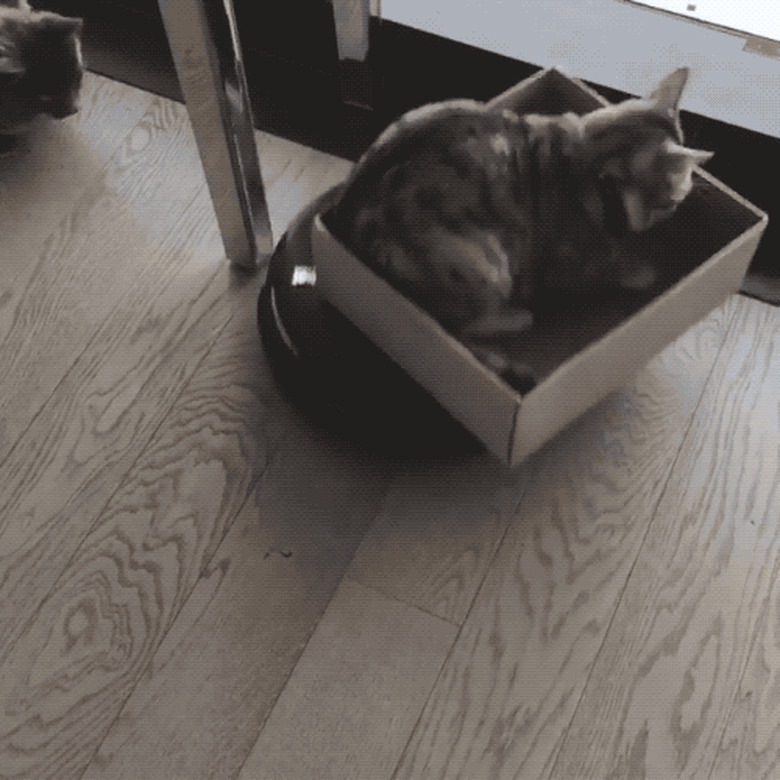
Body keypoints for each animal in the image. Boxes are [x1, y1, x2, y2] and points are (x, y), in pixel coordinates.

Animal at [330, 68, 712, 390]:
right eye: (672, 202)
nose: (666, 215)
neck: (585, 158)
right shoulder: (572, 265)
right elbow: (613, 267)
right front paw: (641, 270)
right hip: (485, 262)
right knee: (464, 324)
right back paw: (518, 317)